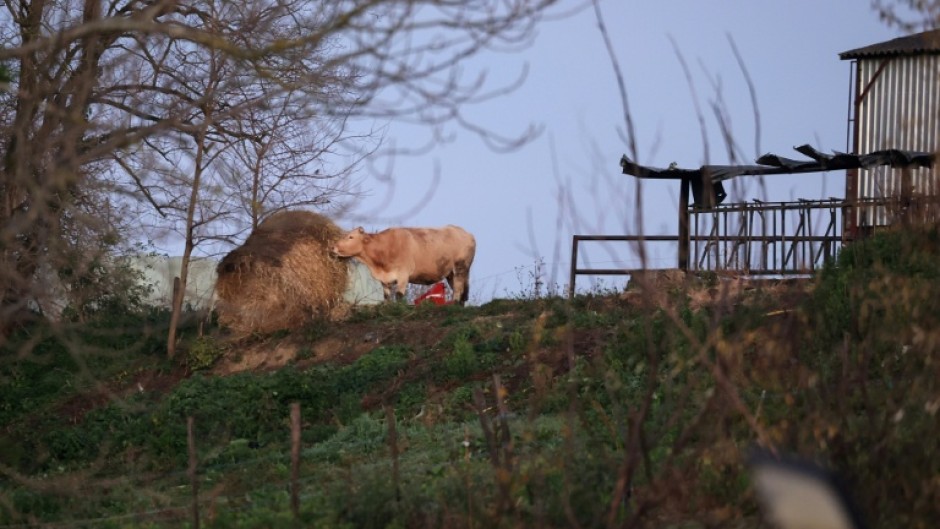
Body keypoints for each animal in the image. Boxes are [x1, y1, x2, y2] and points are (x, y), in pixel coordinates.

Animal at [331, 225, 476, 304]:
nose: (333, 247)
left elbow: (399, 296)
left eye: (351, 237)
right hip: (451, 273)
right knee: (461, 290)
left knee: (458, 288)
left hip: (460, 267)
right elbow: (386, 297)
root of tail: (466, 233)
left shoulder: (403, 275)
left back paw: (454, 303)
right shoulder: (385, 280)